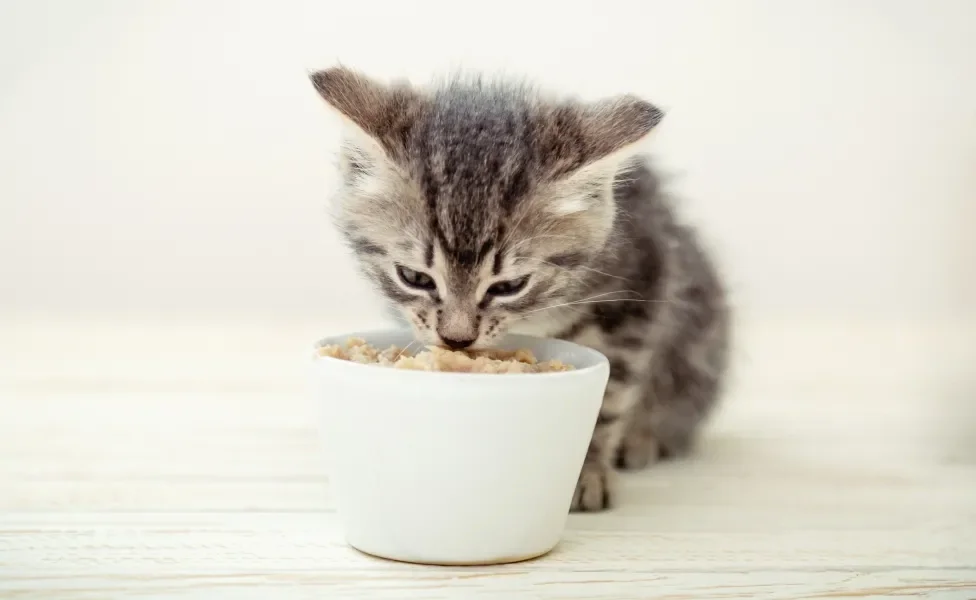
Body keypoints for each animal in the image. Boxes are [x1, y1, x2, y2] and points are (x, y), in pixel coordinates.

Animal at [308, 68, 728, 512]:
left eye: (509, 286)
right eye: (415, 278)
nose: (457, 339)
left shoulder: (639, 283)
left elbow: (611, 393)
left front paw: (588, 471)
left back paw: (645, 437)